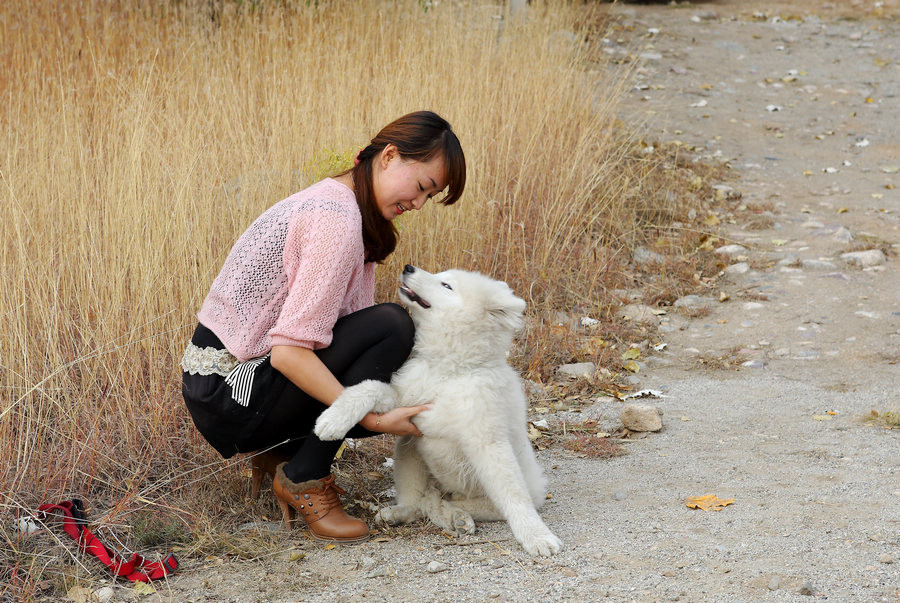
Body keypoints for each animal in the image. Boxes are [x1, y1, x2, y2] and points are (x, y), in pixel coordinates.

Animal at [312, 266, 560, 560]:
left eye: (446, 285)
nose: (408, 267)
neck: (447, 370)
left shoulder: (488, 442)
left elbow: (515, 497)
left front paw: (537, 536)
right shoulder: (403, 401)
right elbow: (366, 387)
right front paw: (332, 419)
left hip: (501, 487)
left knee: (471, 503)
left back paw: (455, 515)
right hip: (408, 451)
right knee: (418, 501)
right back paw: (406, 512)